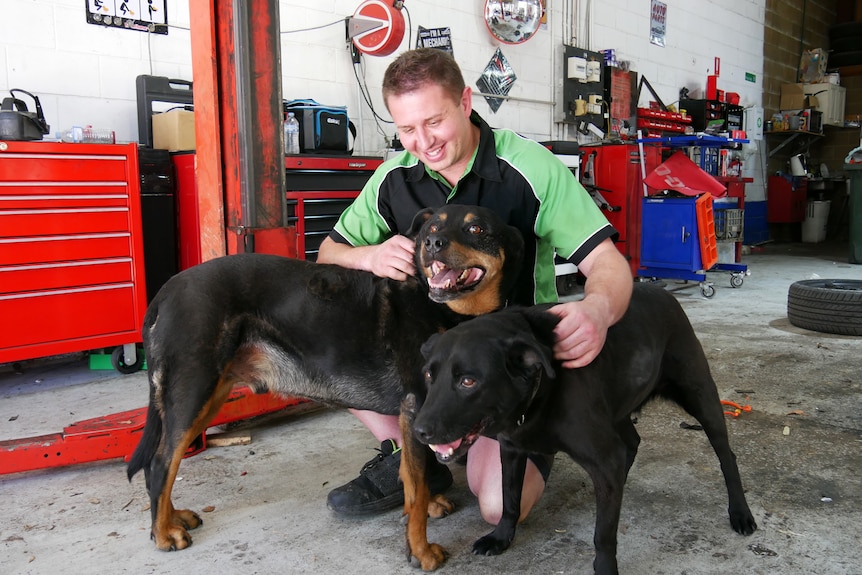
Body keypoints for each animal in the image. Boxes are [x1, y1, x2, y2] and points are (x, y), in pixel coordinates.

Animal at [125, 204, 524, 572]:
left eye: (476, 228)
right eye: (432, 228)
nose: (432, 244)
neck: (441, 307)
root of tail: (165, 291)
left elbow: (418, 474)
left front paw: (428, 508)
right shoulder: (418, 405)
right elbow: (417, 483)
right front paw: (420, 551)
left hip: (209, 392)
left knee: (162, 459)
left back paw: (170, 518)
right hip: (194, 387)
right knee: (161, 462)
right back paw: (163, 533)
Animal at [412, 284, 756, 575]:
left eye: (468, 381)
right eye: (428, 374)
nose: (419, 431)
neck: (541, 389)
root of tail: (664, 292)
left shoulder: (602, 457)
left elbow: (602, 536)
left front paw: (604, 568)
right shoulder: (511, 450)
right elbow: (509, 501)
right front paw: (501, 537)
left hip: (702, 399)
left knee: (727, 455)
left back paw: (740, 513)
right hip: (617, 409)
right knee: (631, 442)